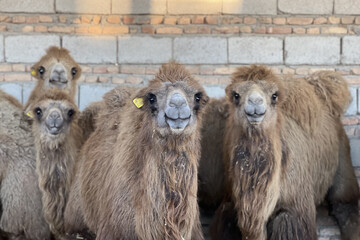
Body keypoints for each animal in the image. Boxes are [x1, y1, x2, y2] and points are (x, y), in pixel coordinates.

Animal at [214, 64, 360, 239]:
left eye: (274, 96)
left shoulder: (293, 211)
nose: (255, 102)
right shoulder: (230, 209)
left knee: (345, 205)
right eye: (236, 95)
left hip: (343, 161)